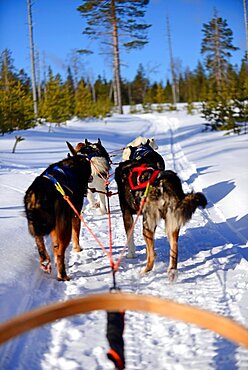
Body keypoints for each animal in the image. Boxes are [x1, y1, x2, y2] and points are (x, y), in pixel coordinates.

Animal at [24, 145, 91, 280]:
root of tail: (39, 192)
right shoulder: (75, 215)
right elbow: (76, 235)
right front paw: (77, 249)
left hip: (37, 226)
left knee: (42, 246)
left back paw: (46, 262)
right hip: (64, 228)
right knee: (60, 252)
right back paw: (63, 275)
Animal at [115, 142, 206, 280]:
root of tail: (163, 182)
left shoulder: (126, 214)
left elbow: (130, 239)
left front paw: (131, 255)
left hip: (147, 225)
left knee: (151, 259)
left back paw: (143, 272)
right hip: (171, 226)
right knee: (174, 251)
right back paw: (172, 272)